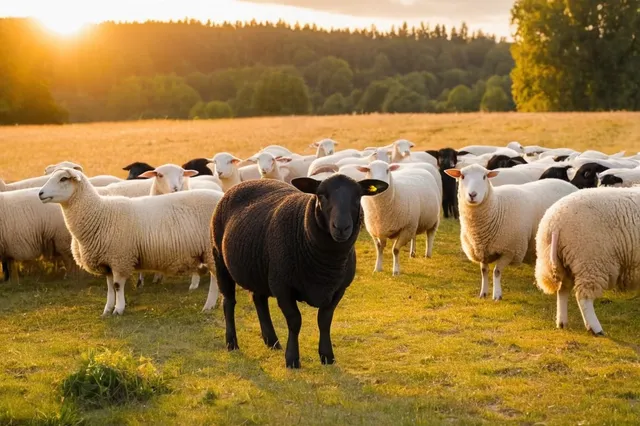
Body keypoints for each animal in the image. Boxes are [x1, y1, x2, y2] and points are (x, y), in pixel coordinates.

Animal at [39, 167, 225, 316]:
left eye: (63, 179)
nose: (40, 193)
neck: (99, 213)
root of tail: (223, 195)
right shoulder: (108, 261)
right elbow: (109, 286)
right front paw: (107, 309)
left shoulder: (120, 258)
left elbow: (117, 285)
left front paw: (119, 309)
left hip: (211, 250)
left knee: (216, 280)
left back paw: (209, 305)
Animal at [212, 175, 388, 368]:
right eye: (321, 195)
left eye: (358, 197)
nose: (341, 227)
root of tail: (246, 182)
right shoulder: (282, 286)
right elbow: (295, 321)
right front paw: (292, 359)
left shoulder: (339, 289)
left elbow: (324, 320)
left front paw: (327, 356)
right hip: (220, 258)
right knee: (229, 302)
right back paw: (232, 343)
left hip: (260, 270)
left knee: (259, 299)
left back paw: (272, 342)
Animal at [444, 165, 580, 302]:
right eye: (462, 176)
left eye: (484, 177)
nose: (472, 194)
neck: (496, 207)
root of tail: (570, 185)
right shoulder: (482, 250)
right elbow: (484, 271)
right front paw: (483, 293)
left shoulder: (510, 250)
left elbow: (496, 272)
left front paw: (497, 295)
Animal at [532, 187, 640, 336]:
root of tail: (554, 222)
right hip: (590, 260)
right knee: (583, 297)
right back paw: (595, 328)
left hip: (566, 262)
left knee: (563, 290)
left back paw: (562, 322)